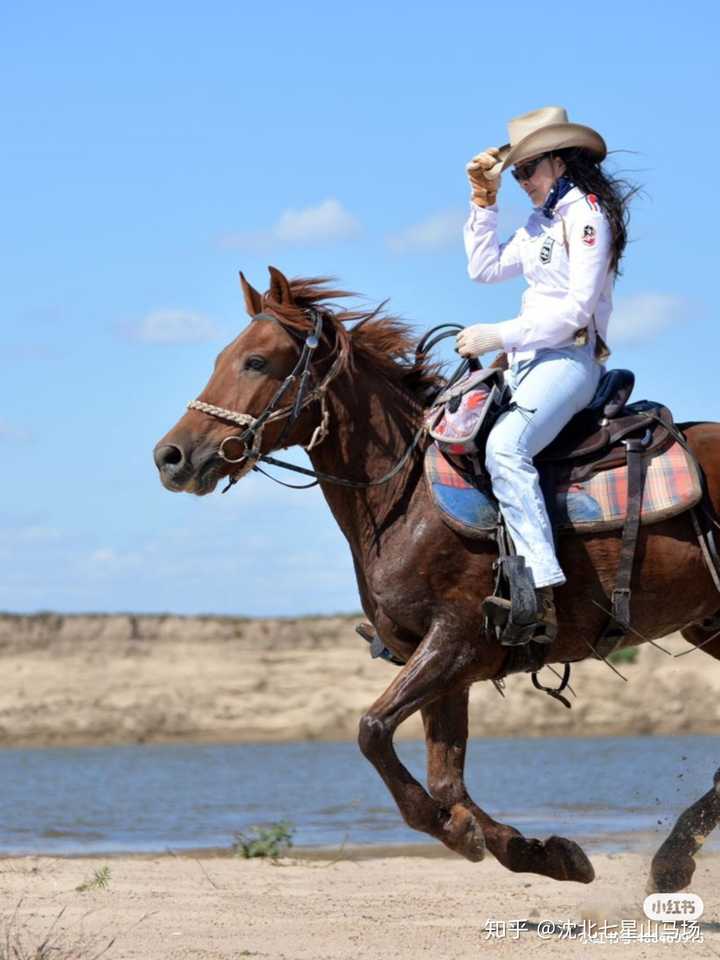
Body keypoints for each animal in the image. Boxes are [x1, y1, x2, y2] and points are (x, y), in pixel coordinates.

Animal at [153, 266, 720, 888]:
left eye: (256, 361)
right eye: (221, 358)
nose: (170, 457)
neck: (406, 497)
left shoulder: (455, 642)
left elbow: (373, 731)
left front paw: (467, 834)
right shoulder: (441, 663)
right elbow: (447, 780)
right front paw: (537, 852)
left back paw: (671, 860)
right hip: (709, 628)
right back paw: (672, 858)